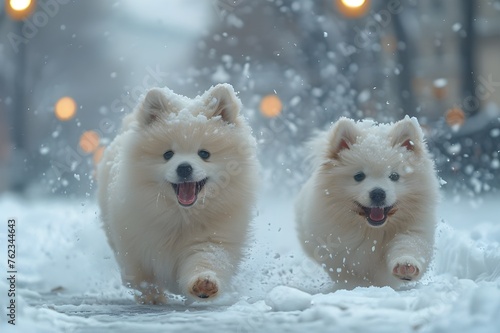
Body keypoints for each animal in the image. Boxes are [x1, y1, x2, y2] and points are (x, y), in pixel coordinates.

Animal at [99, 84, 260, 302]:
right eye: (168, 154)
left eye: (204, 154)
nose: (184, 167)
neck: (181, 217)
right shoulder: (134, 245)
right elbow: (142, 277)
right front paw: (152, 297)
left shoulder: (213, 238)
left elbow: (206, 260)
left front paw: (204, 283)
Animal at [294, 116, 440, 288]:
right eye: (359, 176)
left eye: (394, 176)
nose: (378, 193)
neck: (372, 230)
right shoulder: (332, 245)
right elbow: (345, 271)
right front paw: (356, 286)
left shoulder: (414, 228)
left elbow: (409, 245)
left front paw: (405, 266)